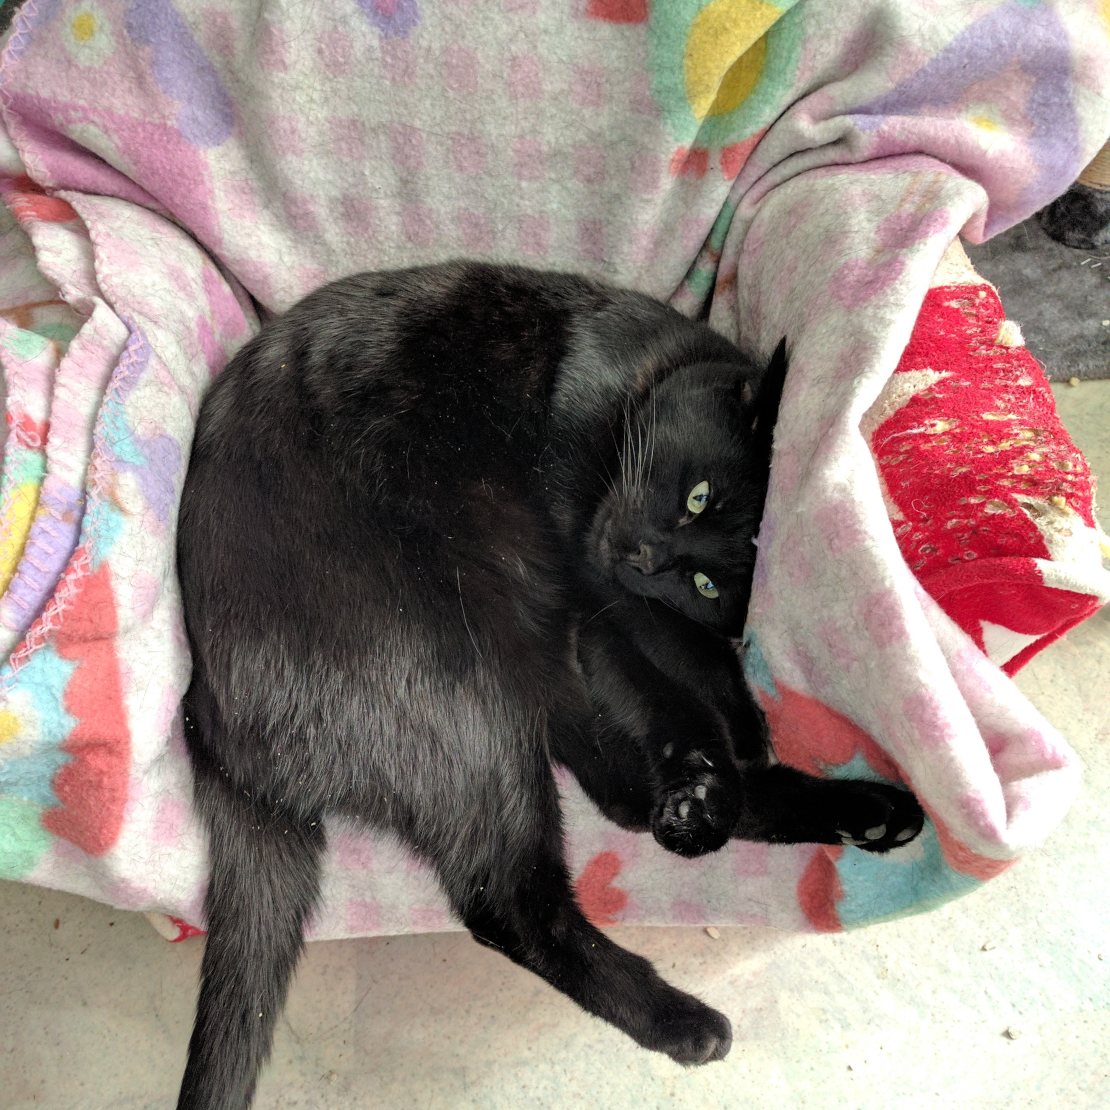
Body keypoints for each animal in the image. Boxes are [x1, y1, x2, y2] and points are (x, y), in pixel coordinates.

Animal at [170, 261, 919, 1110]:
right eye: (696, 495)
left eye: (705, 577)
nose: (644, 554)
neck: (638, 371)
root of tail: (212, 734)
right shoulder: (589, 585)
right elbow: (672, 680)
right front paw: (725, 736)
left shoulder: (603, 603)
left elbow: (688, 660)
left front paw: (734, 741)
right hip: (463, 681)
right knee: (513, 899)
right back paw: (686, 1006)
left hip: (512, 655)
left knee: (619, 798)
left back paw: (849, 809)